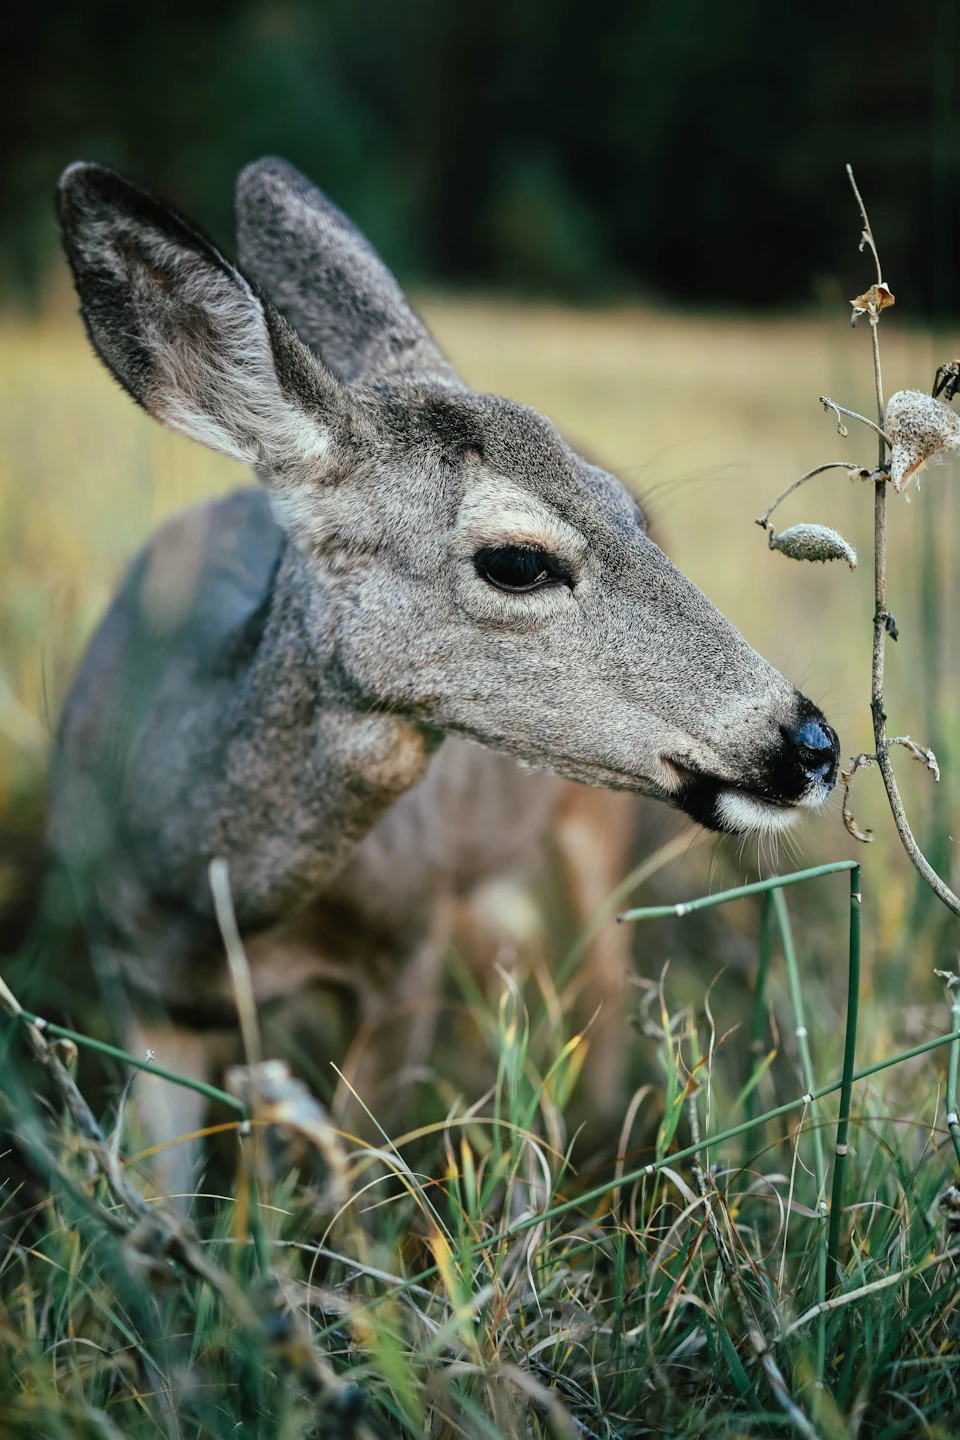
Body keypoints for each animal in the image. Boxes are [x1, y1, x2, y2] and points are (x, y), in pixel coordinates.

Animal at [46, 158, 840, 1195]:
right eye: (516, 561)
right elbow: (158, 1202)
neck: (214, 890)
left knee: (603, 976)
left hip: (591, 835)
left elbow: (357, 1191)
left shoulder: (407, 951)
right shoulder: (137, 991)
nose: (813, 743)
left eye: (627, 515)